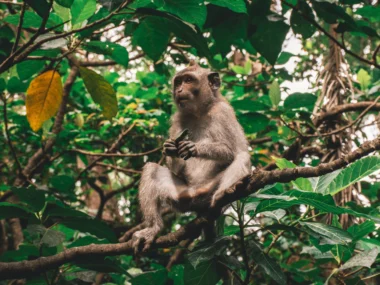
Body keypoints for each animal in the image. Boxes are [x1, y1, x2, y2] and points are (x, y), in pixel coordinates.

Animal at [131, 60, 252, 251]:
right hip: (183, 196)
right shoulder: (177, 118)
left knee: (242, 158)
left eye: (188, 80)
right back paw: (153, 228)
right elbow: (176, 167)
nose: (180, 90)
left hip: (210, 189)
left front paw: (194, 148)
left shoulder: (222, 111)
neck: (200, 112)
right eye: (178, 82)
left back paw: (223, 194)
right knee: (151, 169)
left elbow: (234, 151)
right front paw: (170, 147)